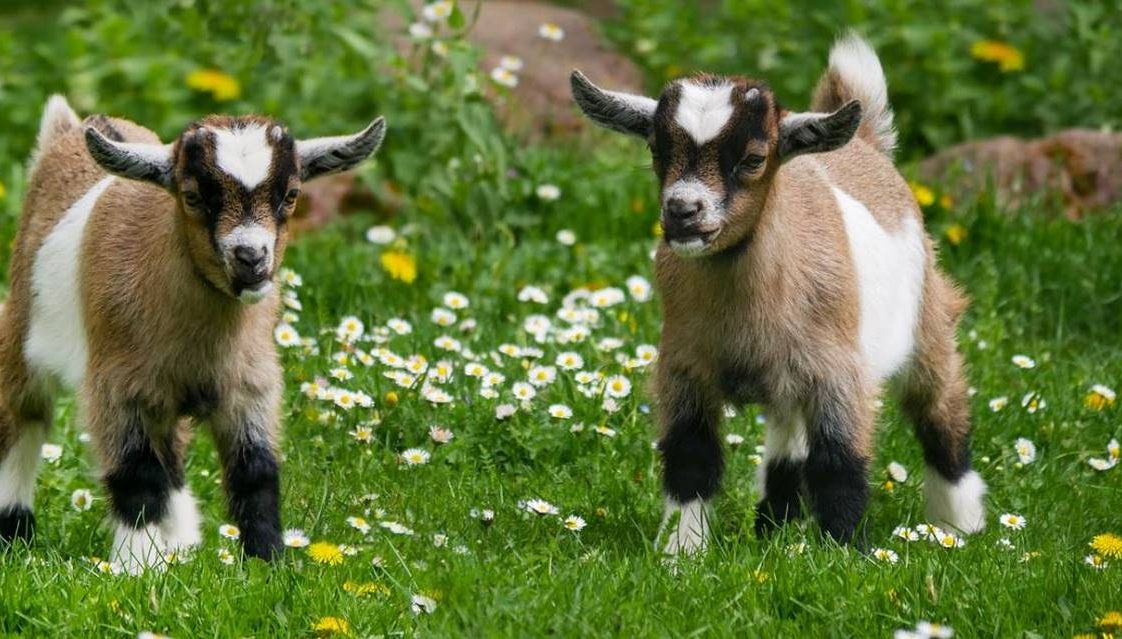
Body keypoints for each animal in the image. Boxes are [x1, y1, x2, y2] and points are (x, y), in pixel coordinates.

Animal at [0, 95, 384, 572]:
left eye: (291, 195)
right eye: (193, 196)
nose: (251, 258)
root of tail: (71, 128)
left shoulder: (250, 385)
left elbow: (256, 472)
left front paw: (268, 561)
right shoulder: (120, 387)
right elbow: (137, 475)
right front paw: (135, 567)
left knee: (172, 451)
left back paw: (181, 543)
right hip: (23, 328)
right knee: (24, 416)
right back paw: (14, 531)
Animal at [571, 34, 985, 555]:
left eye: (753, 158)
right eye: (656, 150)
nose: (683, 211)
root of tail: (866, 145)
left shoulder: (838, 373)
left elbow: (839, 463)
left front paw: (845, 553)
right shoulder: (684, 366)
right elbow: (691, 457)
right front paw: (681, 553)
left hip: (927, 322)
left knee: (940, 412)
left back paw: (959, 527)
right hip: (788, 381)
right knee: (788, 442)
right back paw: (774, 525)